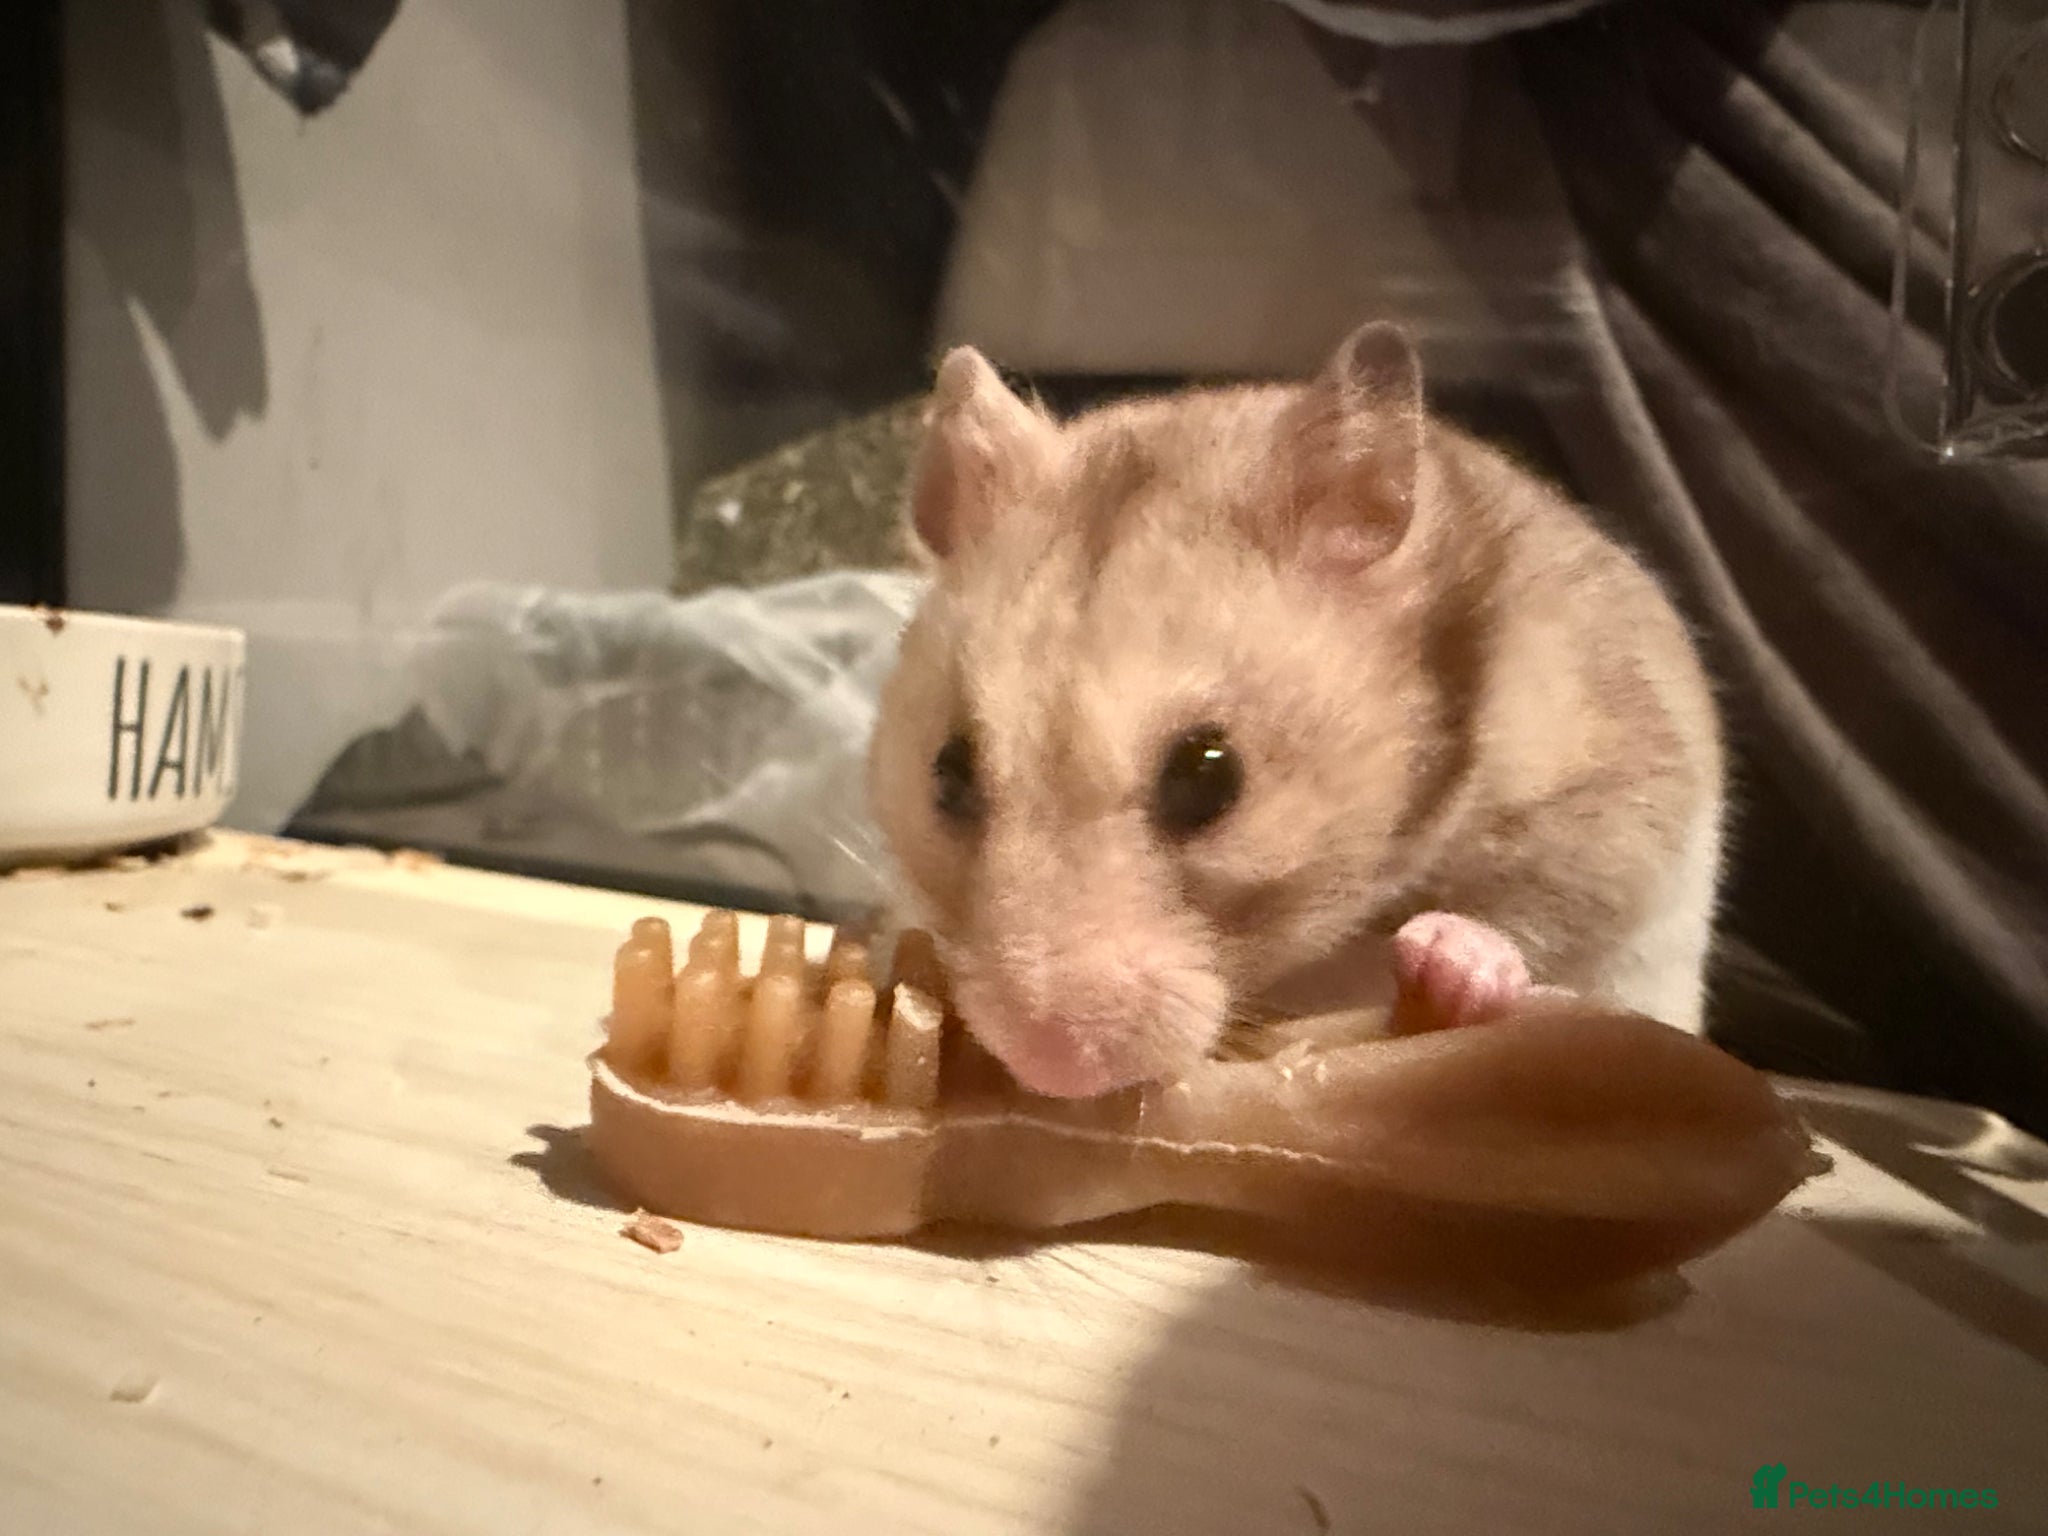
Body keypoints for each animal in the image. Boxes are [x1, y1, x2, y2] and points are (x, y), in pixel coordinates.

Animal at [864, 323, 1725, 1100]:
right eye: (946, 776)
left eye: (1211, 776)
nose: (1051, 1068)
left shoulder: (1609, 803)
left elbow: (1531, 916)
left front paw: (1443, 960)